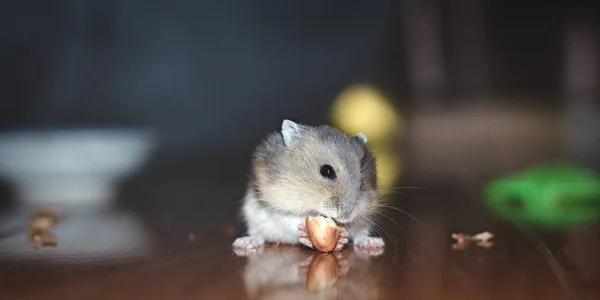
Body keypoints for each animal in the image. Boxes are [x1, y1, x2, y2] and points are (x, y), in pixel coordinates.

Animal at [234, 119, 384, 253]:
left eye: (362, 180)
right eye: (327, 171)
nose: (345, 217)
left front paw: (342, 234)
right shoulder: (273, 201)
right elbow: (290, 219)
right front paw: (305, 232)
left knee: (361, 236)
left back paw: (373, 244)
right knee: (258, 235)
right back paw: (244, 243)